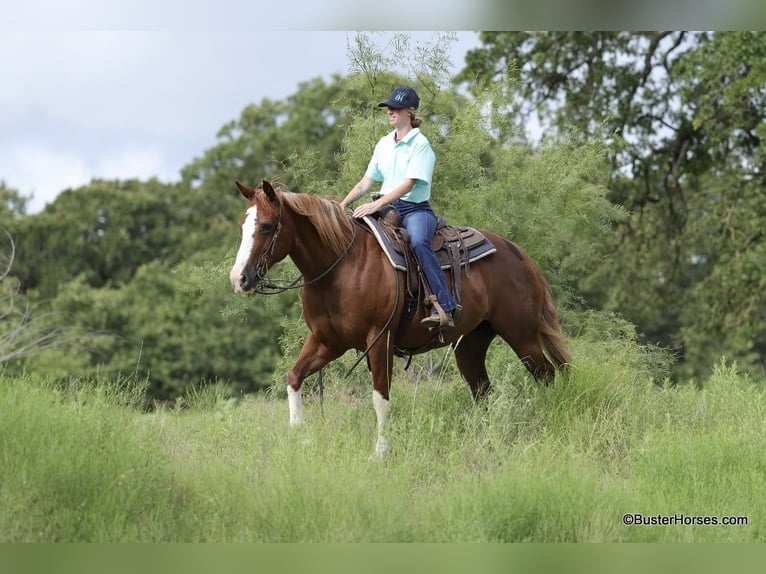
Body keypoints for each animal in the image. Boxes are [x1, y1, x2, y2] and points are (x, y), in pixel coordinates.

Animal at [229, 180, 570, 458]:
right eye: (243, 226)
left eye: (267, 226)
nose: (239, 279)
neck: (341, 267)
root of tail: (520, 254)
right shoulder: (327, 342)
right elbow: (293, 378)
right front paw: (299, 437)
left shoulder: (379, 339)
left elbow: (380, 396)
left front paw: (381, 452)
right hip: (470, 345)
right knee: (483, 391)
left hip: (522, 335)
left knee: (547, 375)